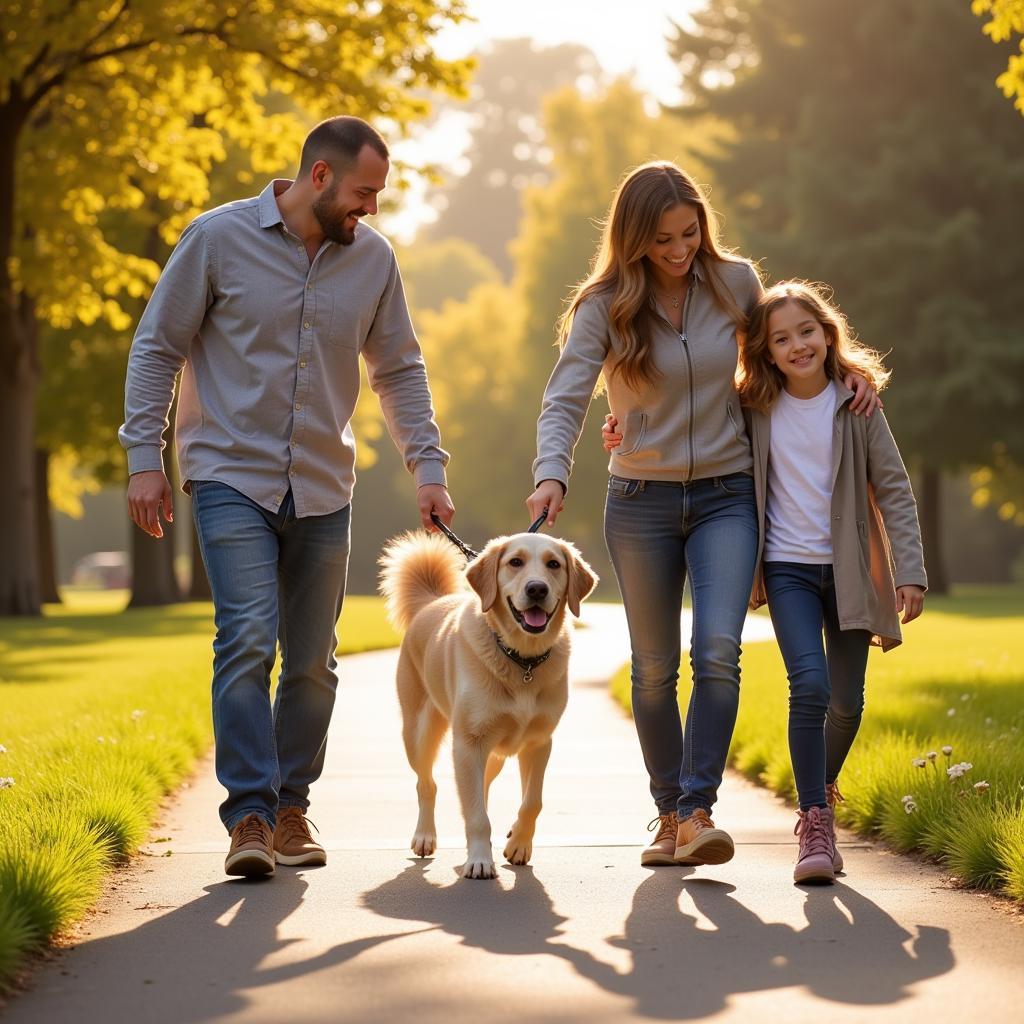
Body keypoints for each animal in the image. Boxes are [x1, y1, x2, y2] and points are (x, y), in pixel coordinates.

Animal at [380, 532, 598, 876]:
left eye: (554, 564)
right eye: (515, 562)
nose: (537, 589)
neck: (522, 660)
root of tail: (432, 601)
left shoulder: (539, 742)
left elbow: (532, 802)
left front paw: (518, 845)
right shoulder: (469, 743)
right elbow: (477, 815)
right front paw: (481, 860)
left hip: (493, 755)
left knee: (478, 787)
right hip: (419, 734)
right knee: (427, 785)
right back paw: (425, 836)